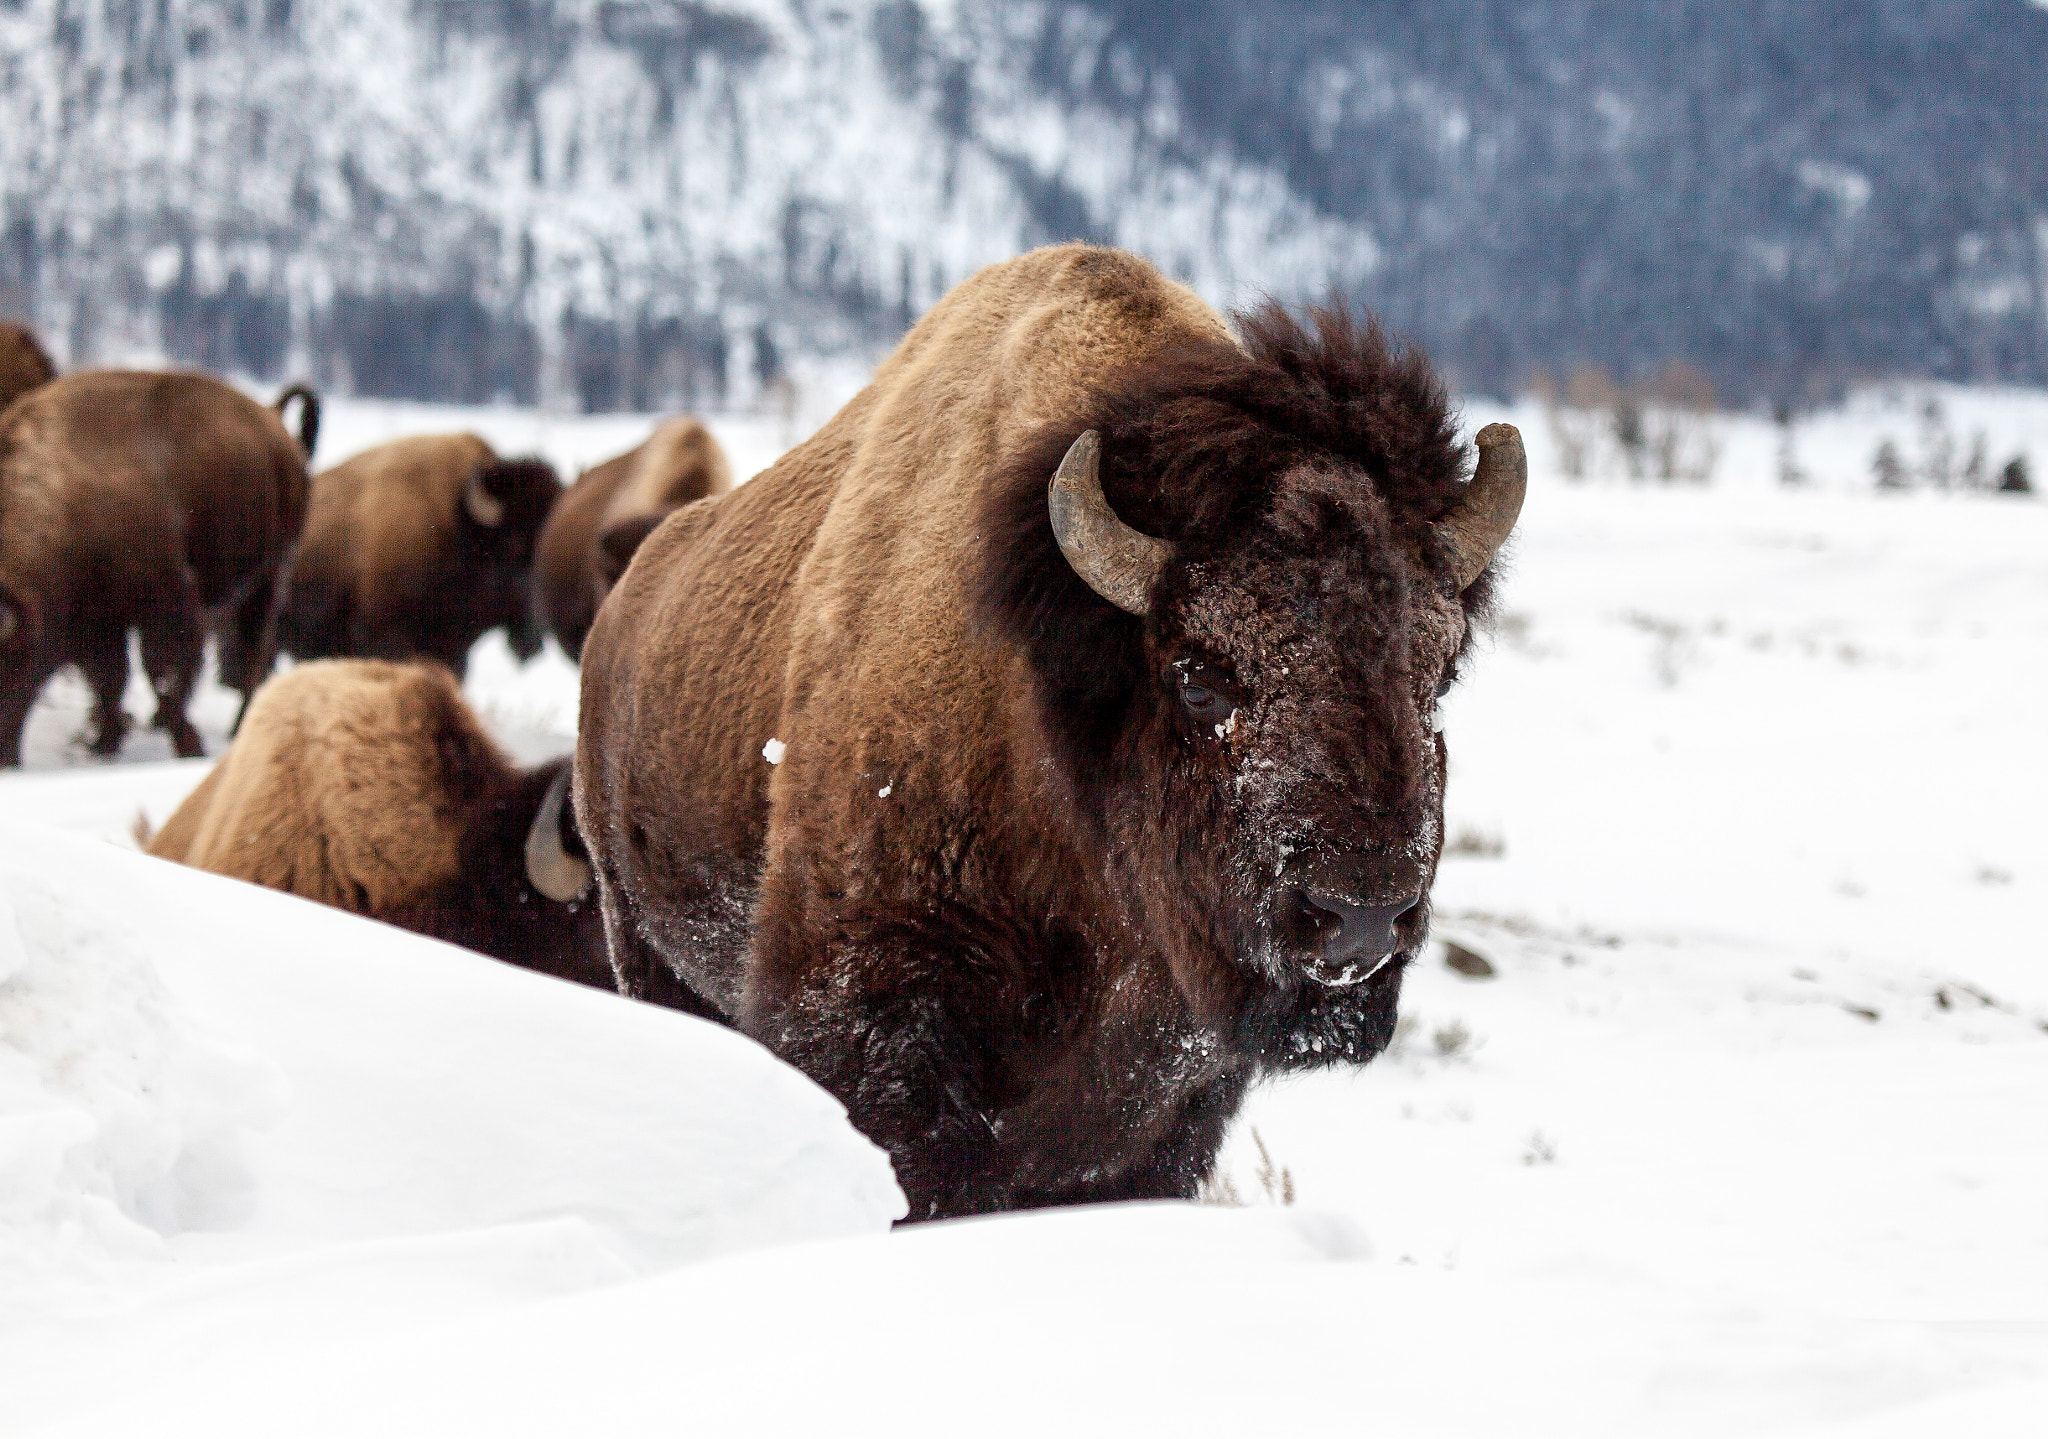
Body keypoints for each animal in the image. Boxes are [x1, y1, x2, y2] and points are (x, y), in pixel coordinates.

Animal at [0, 368, 315, 765]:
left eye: (14, 656)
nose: (5, 756)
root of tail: (274, 422)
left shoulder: (165, 603)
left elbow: (162, 672)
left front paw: (187, 745)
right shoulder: (100, 621)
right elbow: (110, 679)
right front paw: (104, 745)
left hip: (268, 577)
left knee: (254, 653)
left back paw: (239, 727)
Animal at [577, 244, 1523, 1211]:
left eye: (1441, 672)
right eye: (1198, 677)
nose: (1361, 915)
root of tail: (624, 605)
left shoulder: (1173, 1110)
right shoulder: (868, 1028)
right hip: (642, 939)